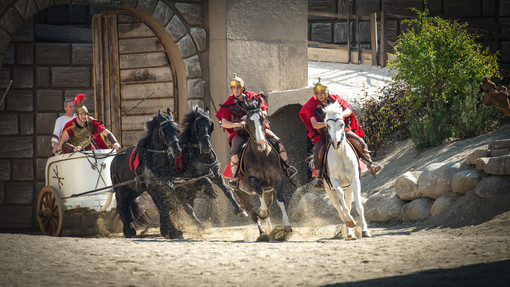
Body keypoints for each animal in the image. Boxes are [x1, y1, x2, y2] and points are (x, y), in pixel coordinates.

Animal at [110, 109, 183, 240]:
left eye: (176, 130)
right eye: (164, 130)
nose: (177, 150)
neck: (153, 159)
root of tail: (115, 159)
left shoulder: (163, 186)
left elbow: (163, 206)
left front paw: (166, 230)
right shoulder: (152, 188)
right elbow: (162, 207)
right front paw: (172, 231)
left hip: (133, 190)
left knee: (128, 204)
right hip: (120, 189)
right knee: (122, 206)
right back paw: (128, 231)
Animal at [231, 98, 290, 240]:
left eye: (263, 118)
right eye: (247, 121)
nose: (261, 143)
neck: (261, 155)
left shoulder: (276, 179)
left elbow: (280, 200)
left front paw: (287, 226)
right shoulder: (251, 180)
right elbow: (259, 192)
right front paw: (262, 213)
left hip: (269, 191)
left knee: (267, 205)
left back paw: (269, 230)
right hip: (240, 194)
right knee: (252, 213)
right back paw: (263, 233)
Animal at [322, 102, 370, 240]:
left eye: (342, 124)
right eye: (328, 126)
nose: (336, 143)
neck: (341, 155)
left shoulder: (354, 180)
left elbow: (358, 206)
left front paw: (365, 231)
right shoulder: (335, 182)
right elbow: (343, 207)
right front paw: (350, 221)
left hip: (348, 188)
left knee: (347, 204)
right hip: (330, 191)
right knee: (340, 209)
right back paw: (349, 231)